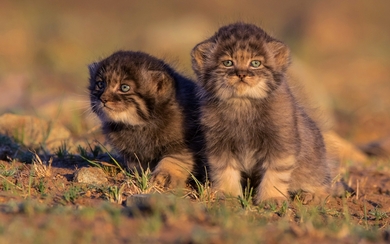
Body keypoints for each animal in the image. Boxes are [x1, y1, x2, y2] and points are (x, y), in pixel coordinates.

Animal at [87, 51, 200, 189]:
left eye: (124, 87)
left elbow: (174, 160)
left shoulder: (184, 143)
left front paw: (163, 176)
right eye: (100, 84)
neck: (140, 125)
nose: (103, 99)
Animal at [190, 22, 330, 203]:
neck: (243, 104)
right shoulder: (219, 144)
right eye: (228, 63)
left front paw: (272, 198)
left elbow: (275, 173)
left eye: (255, 63)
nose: (241, 74)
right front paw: (228, 194)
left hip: (314, 168)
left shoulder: (281, 142)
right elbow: (224, 170)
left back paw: (312, 196)